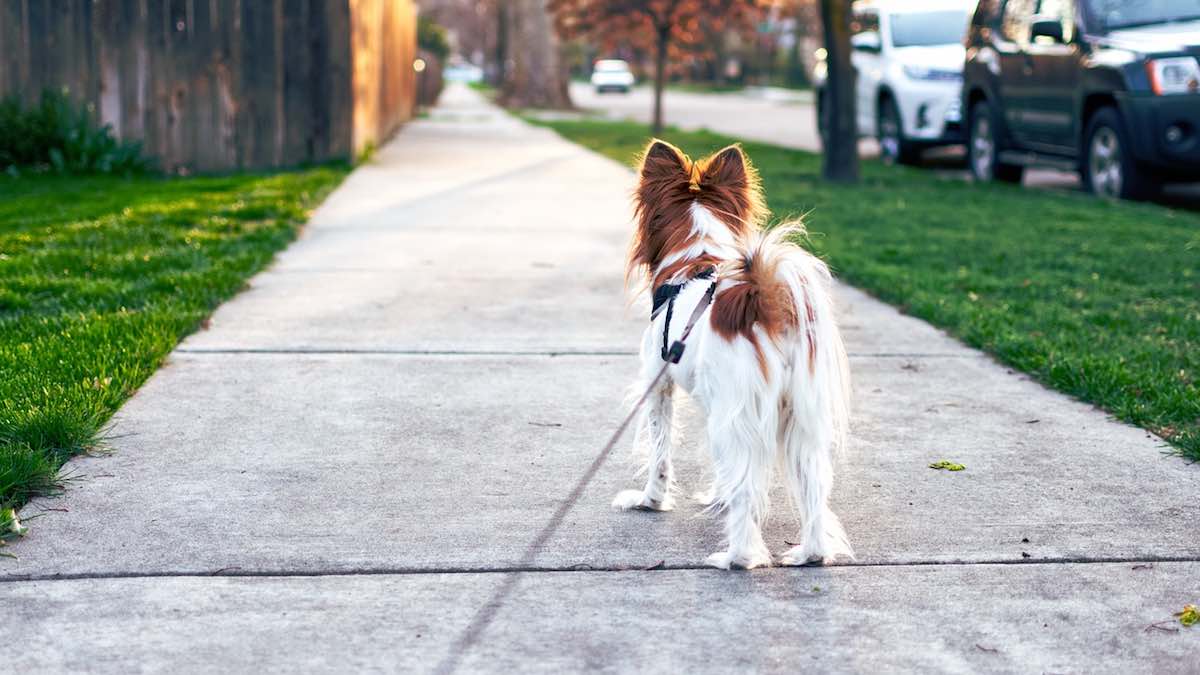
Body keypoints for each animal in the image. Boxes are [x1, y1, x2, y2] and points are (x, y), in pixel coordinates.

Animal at [614, 140, 859, 566]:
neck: (696, 258)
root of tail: (766, 301)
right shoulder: (718, 403)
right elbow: (720, 467)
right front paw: (717, 497)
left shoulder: (660, 387)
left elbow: (660, 452)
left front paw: (650, 501)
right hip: (799, 418)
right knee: (813, 487)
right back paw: (810, 554)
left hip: (741, 411)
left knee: (748, 489)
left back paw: (737, 558)